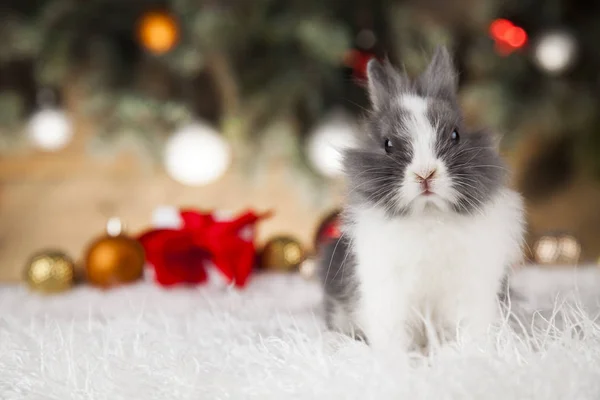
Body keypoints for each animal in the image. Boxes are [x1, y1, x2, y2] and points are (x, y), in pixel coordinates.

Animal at [318, 47, 524, 354]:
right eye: (388, 144)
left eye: (455, 135)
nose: (425, 174)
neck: (429, 215)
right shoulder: (388, 294)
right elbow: (395, 337)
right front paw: (400, 361)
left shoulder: (471, 289)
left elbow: (469, 328)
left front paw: (470, 355)